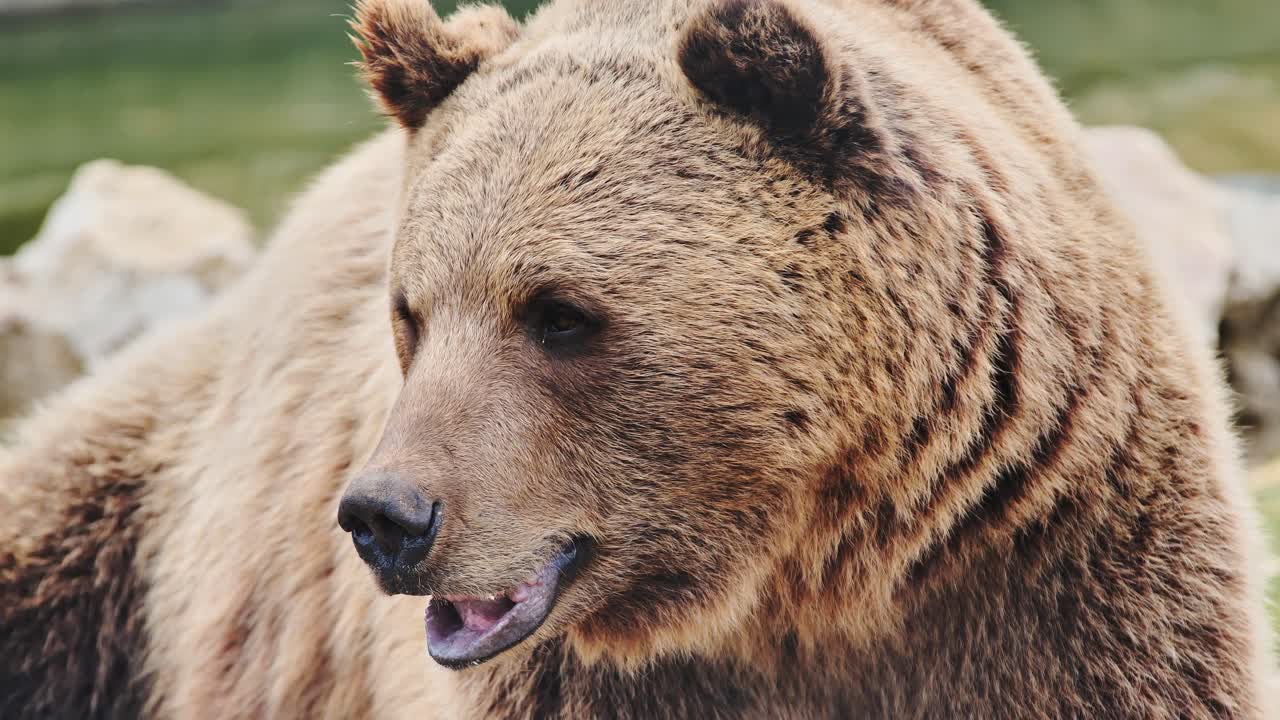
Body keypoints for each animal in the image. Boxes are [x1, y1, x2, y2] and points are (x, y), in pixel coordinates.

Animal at [2, 0, 1275, 718]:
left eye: (558, 314)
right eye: (410, 312)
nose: (385, 516)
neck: (809, 572)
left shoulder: (1050, 567)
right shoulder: (578, 681)